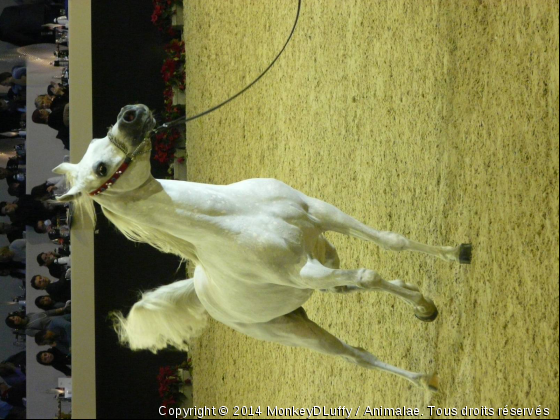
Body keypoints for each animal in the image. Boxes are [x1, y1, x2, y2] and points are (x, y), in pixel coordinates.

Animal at [54, 104, 470, 390]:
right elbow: (370, 274)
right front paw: (423, 304)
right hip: (293, 329)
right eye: (101, 170)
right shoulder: (302, 272)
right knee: (355, 355)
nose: (130, 113)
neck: (240, 215)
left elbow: (390, 241)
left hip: (317, 276)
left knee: (347, 287)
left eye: (98, 143)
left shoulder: (322, 212)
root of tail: (202, 293)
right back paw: (425, 381)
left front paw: (457, 254)